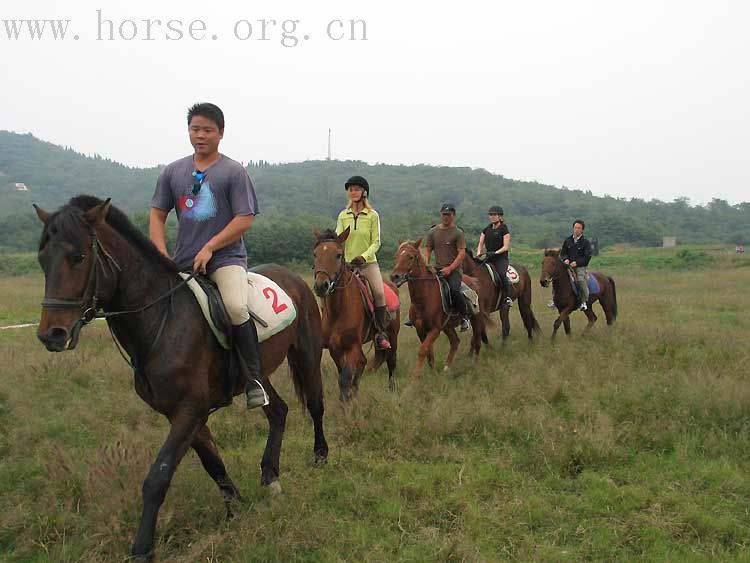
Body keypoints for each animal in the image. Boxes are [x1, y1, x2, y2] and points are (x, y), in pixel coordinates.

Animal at [35, 197, 328, 560]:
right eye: (43, 260)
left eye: (78, 257)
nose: (51, 335)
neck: (162, 319)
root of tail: (294, 278)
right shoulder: (182, 414)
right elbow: (212, 463)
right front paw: (236, 506)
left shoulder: (189, 411)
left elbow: (158, 477)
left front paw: (143, 547)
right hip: (257, 374)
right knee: (278, 411)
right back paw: (270, 476)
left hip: (307, 355)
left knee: (315, 405)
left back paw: (320, 457)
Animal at [314, 227, 402, 398]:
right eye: (315, 254)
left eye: (338, 254)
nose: (321, 286)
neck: (339, 311)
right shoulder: (335, 349)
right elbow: (344, 375)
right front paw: (348, 398)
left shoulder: (353, 346)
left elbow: (345, 378)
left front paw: (347, 402)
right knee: (363, 363)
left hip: (392, 334)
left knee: (391, 361)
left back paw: (392, 389)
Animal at [390, 239, 484, 376]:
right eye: (396, 256)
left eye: (411, 257)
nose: (395, 276)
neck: (424, 297)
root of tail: (475, 281)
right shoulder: (420, 329)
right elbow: (429, 352)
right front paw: (432, 372)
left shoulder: (434, 329)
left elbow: (423, 349)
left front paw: (415, 376)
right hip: (447, 326)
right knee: (455, 341)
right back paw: (446, 368)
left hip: (476, 319)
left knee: (477, 341)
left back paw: (476, 366)